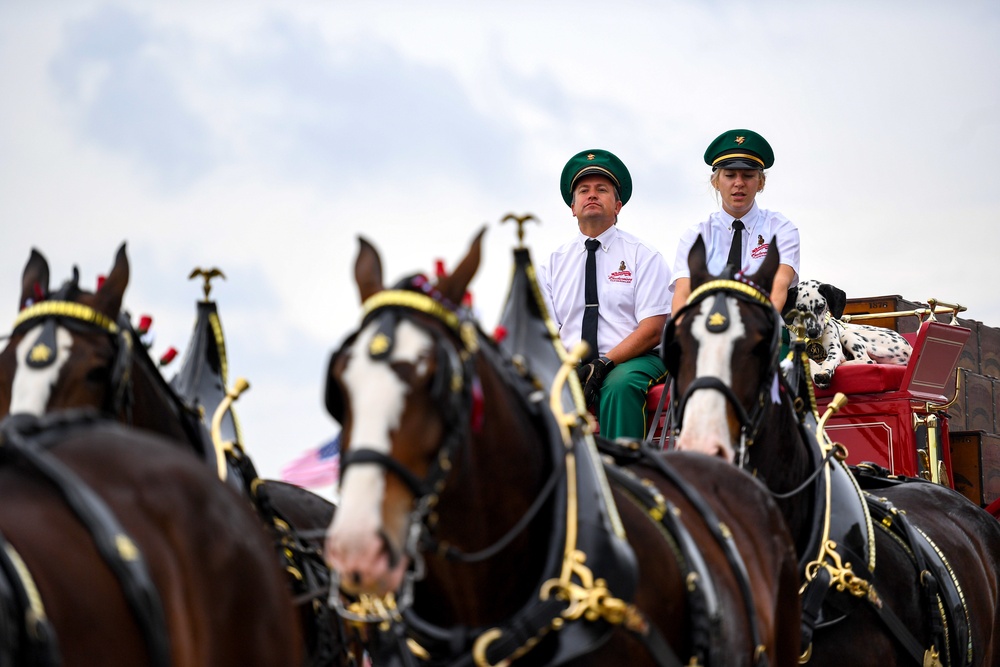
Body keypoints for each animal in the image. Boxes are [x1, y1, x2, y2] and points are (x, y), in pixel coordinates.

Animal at [780, 278, 916, 392]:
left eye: (820, 306)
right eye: (801, 308)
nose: (813, 332)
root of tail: (910, 348)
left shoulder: (835, 349)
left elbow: (828, 360)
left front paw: (824, 372)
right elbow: (809, 361)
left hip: (847, 334)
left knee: (867, 360)